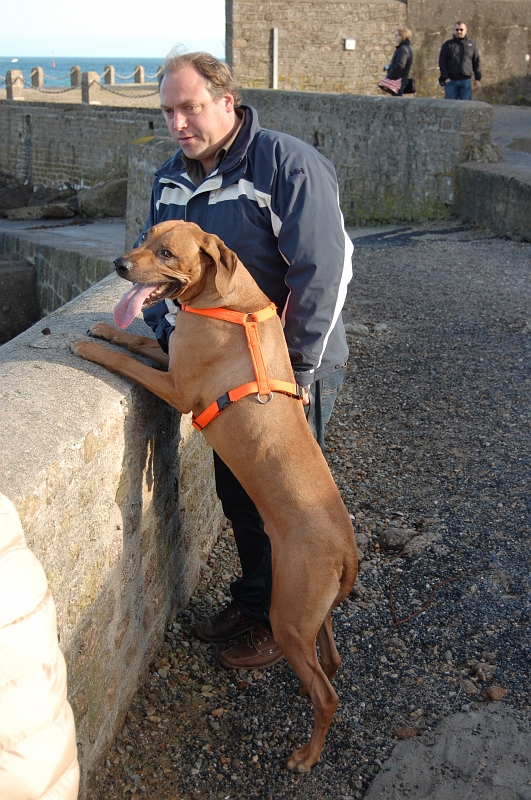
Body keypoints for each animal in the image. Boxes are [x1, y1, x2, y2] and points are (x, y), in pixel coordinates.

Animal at [72, 220, 360, 776]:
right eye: (145, 237)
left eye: (166, 252)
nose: (119, 265)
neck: (229, 302)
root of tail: (348, 549)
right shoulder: (172, 358)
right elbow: (131, 338)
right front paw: (104, 329)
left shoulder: (178, 387)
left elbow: (122, 359)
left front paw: (87, 347)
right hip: (313, 610)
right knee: (331, 661)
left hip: (288, 616)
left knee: (328, 693)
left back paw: (306, 755)